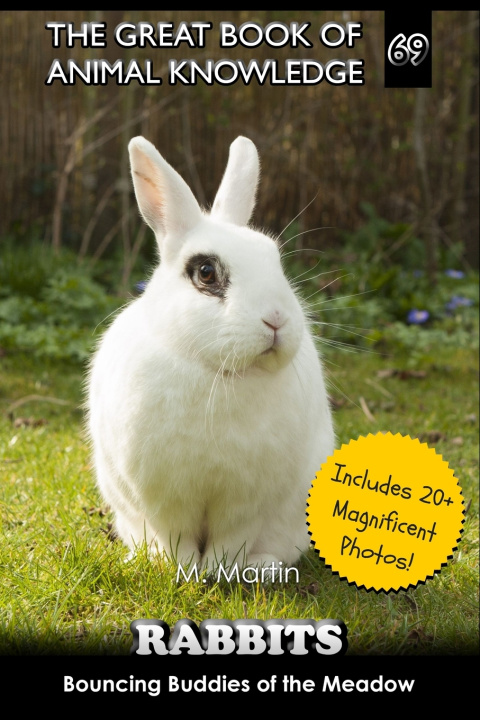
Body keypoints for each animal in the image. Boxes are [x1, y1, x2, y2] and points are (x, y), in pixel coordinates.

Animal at [87, 134, 335, 574]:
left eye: (275, 260)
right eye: (206, 272)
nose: (276, 318)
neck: (219, 372)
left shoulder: (246, 502)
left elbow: (231, 540)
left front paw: (222, 570)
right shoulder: (165, 498)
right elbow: (177, 537)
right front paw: (182, 569)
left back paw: (265, 565)